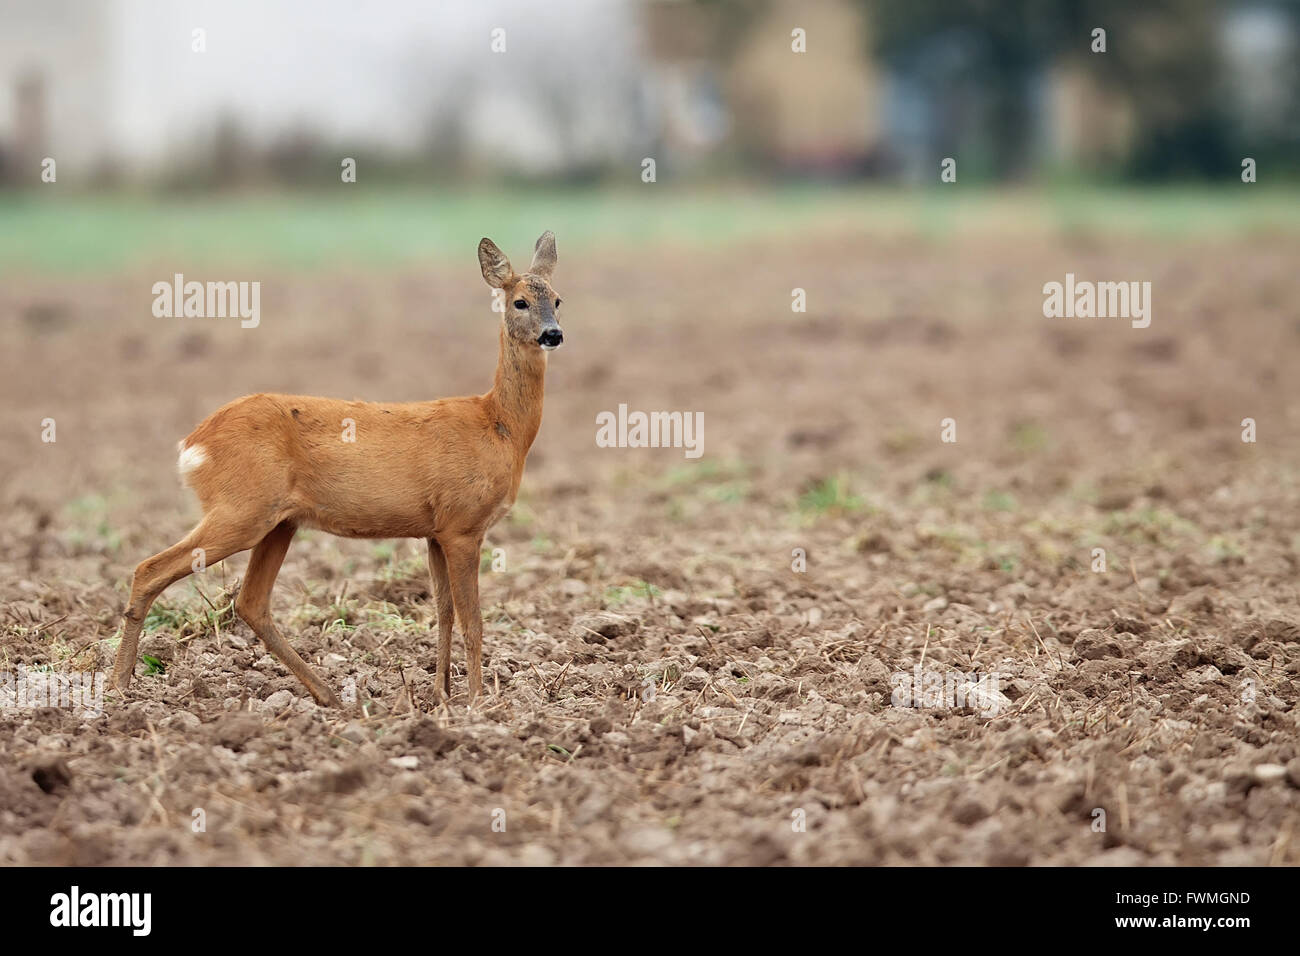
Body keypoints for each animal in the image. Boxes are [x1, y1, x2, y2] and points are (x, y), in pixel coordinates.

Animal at [107, 234, 564, 707]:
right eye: (520, 301)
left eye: (558, 300)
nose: (553, 334)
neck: (499, 425)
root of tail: (194, 443)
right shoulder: (464, 525)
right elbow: (472, 620)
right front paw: (478, 701)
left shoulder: (436, 530)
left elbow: (443, 613)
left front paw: (441, 694)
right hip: (241, 509)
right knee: (149, 569)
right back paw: (119, 685)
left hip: (279, 523)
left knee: (251, 602)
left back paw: (328, 694)